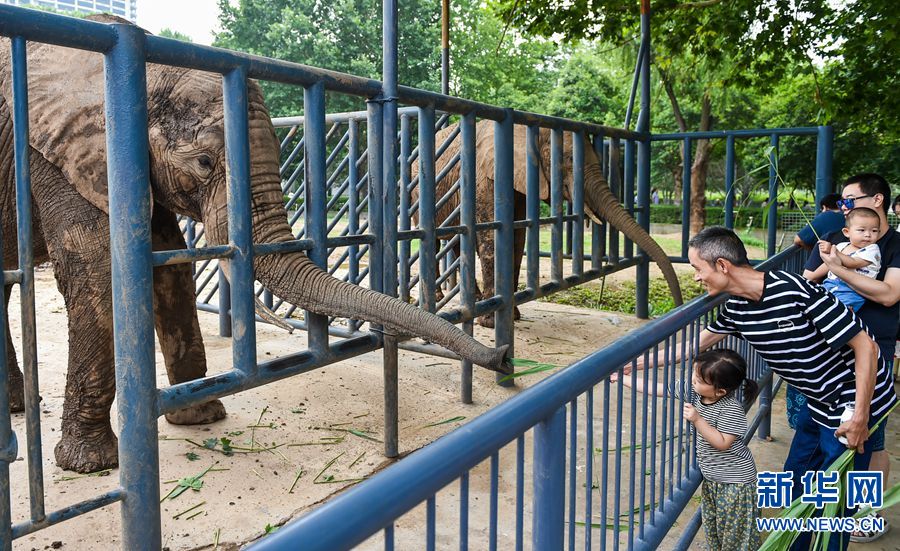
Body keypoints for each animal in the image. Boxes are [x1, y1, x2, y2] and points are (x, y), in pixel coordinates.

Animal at [0, 17, 506, 474]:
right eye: (204, 162)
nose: (501, 357)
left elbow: (170, 267)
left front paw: (201, 418)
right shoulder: (55, 155)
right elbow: (95, 271)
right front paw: (91, 466)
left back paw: (19, 407)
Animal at [414, 121, 684, 328]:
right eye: (568, 159)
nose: (678, 306)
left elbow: (517, 236)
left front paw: (513, 318)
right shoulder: (484, 176)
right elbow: (492, 235)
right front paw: (491, 323)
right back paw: (440, 298)